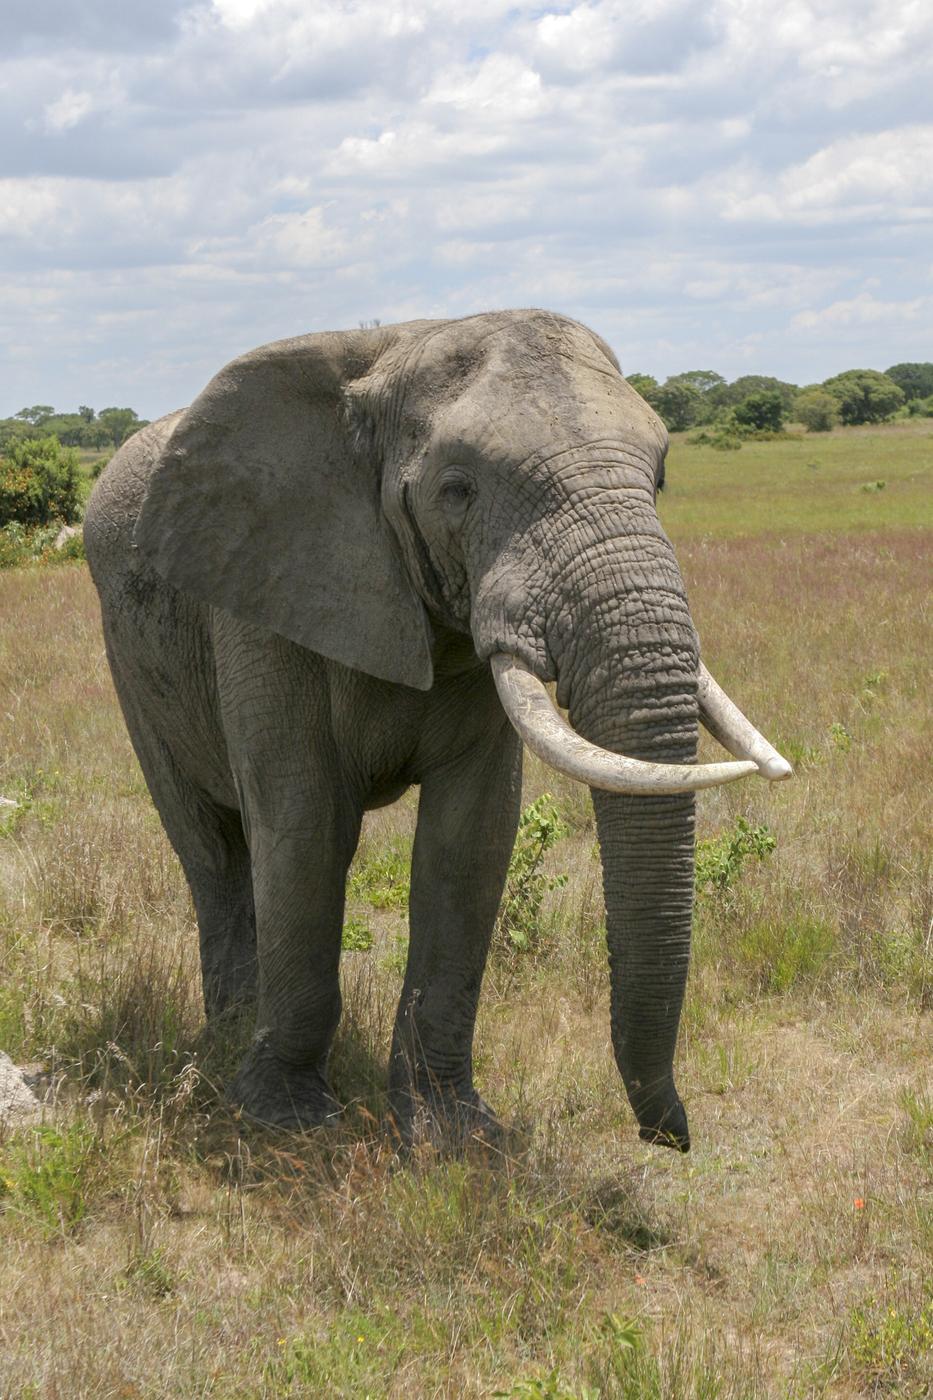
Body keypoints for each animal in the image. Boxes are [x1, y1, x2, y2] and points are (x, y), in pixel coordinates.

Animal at [84, 309, 791, 1153]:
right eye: (457, 491)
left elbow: (470, 840)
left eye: (657, 479)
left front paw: (451, 1135)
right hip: (130, 660)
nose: (671, 1136)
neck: (392, 351)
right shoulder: (262, 592)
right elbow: (304, 826)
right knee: (212, 849)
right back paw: (225, 1040)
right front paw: (285, 1122)